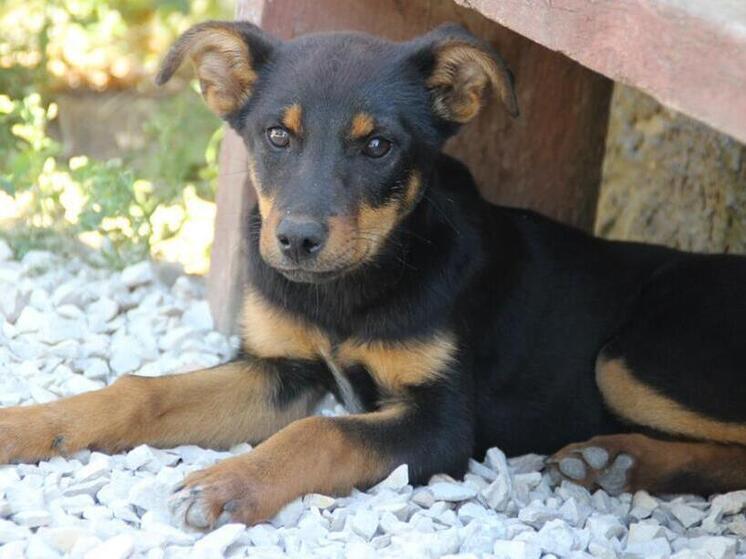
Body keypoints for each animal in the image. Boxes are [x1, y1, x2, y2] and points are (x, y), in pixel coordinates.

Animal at [1, 21, 744, 528]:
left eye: (378, 145)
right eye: (277, 136)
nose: (297, 241)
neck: (347, 290)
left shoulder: (442, 423)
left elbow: (322, 432)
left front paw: (229, 483)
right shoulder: (279, 367)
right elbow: (140, 393)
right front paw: (26, 425)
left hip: (629, 357)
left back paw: (619, 459)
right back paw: (615, 463)